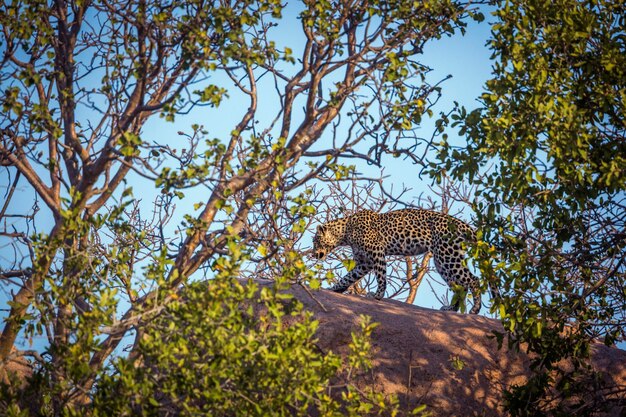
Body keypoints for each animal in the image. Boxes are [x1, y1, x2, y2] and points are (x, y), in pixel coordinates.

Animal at [312, 207, 482, 312]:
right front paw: (334, 289)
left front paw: (377, 295)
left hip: (447, 255)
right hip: (442, 261)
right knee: (461, 286)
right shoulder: (364, 263)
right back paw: (451, 309)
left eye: (315, 241)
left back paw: (475, 310)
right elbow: (348, 277)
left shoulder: (376, 252)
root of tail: (462, 224)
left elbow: (381, 276)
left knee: (473, 280)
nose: (313, 254)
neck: (345, 232)